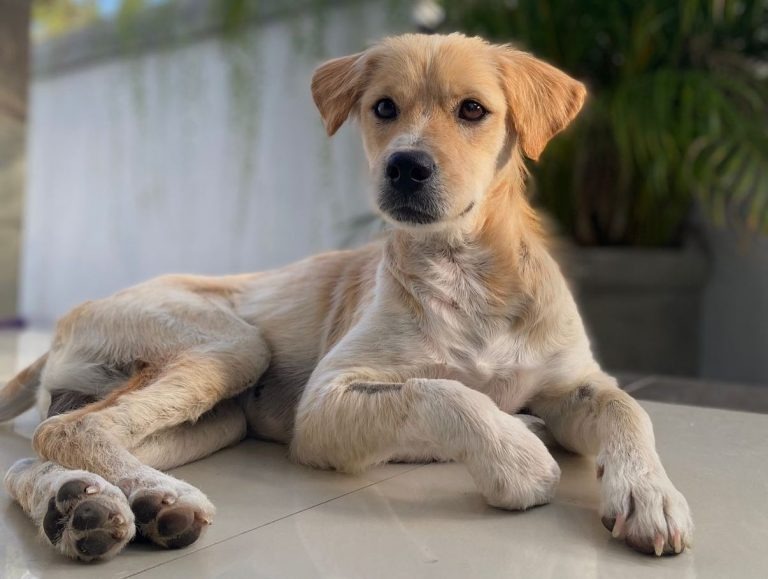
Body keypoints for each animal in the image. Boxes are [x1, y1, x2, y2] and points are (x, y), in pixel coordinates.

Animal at [0, 32, 692, 560]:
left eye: (473, 110)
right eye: (383, 108)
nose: (406, 167)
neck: (466, 273)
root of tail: (68, 320)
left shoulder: (575, 382)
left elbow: (630, 409)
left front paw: (650, 496)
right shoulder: (324, 405)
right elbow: (439, 392)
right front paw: (517, 461)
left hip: (215, 420)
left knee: (33, 453)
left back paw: (94, 506)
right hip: (228, 345)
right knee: (69, 428)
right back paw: (147, 502)